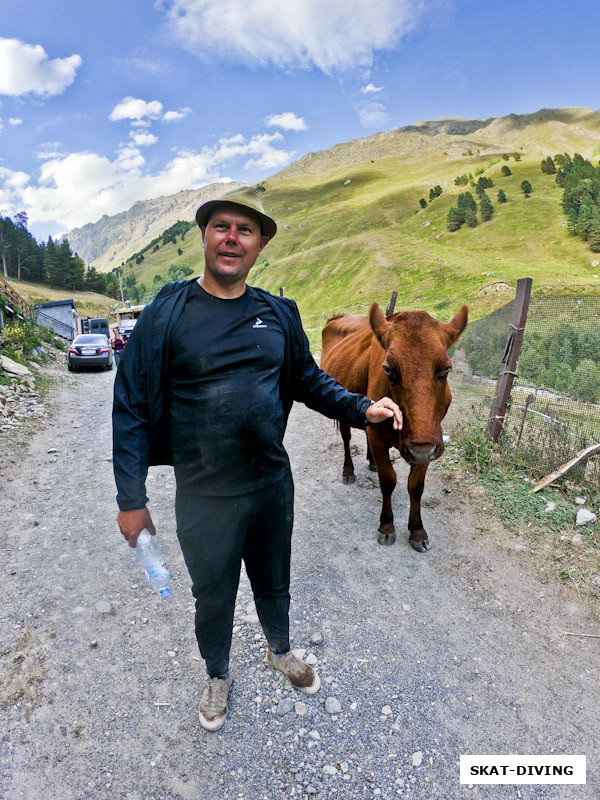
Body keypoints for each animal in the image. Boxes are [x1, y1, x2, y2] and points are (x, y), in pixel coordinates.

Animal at [322, 300, 466, 552]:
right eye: (388, 369)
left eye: (446, 369)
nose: (420, 448)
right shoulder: (380, 433)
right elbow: (388, 480)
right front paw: (387, 526)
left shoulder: (429, 442)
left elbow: (416, 486)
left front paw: (417, 530)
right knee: (347, 439)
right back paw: (348, 471)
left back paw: (371, 462)